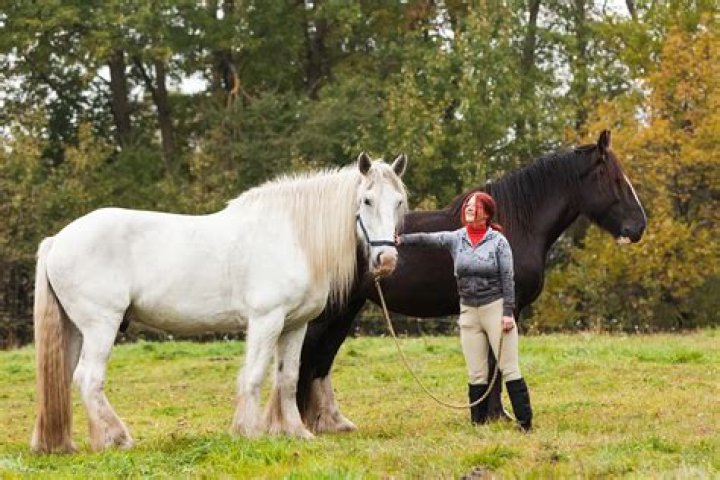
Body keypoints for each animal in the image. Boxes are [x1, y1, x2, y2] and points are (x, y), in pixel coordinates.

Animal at [31, 153, 409, 453]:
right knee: (88, 379)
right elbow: (254, 375)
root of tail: (57, 240)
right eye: (366, 200)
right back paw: (117, 438)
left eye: (399, 203)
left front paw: (296, 432)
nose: (387, 260)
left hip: (74, 330)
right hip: (101, 326)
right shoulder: (266, 320)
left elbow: (287, 377)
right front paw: (249, 432)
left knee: (65, 378)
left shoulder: (295, 325)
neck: (292, 236)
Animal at [295, 130, 647, 433]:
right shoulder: (507, 307)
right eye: (615, 179)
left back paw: (330, 422)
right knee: (310, 354)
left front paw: (493, 414)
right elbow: (496, 361)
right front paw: (495, 416)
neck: (516, 224)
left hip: (346, 308)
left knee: (322, 359)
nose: (639, 226)